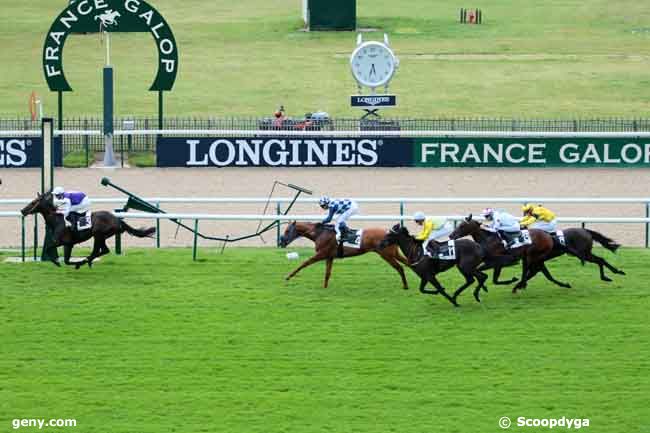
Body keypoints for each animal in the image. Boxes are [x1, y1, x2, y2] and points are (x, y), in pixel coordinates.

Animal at [20, 192, 155, 268]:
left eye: (33, 202)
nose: (22, 210)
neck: (57, 220)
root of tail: (117, 219)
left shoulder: (60, 242)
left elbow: (49, 249)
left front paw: (57, 262)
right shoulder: (68, 244)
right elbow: (66, 260)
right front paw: (65, 263)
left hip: (98, 235)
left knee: (99, 251)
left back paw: (85, 261)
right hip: (101, 237)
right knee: (103, 250)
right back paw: (86, 261)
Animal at [278, 221, 408, 288]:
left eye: (287, 231)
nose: (282, 242)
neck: (320, 233)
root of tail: (391, 232)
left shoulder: (321, 254)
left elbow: (305, 263)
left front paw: (288, 276)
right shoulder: (329, 256)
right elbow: (327, 273)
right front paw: (325, 287)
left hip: (387, 255)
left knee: (400, 268)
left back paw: (405, 286)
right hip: (394, 253)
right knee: (408, 263)